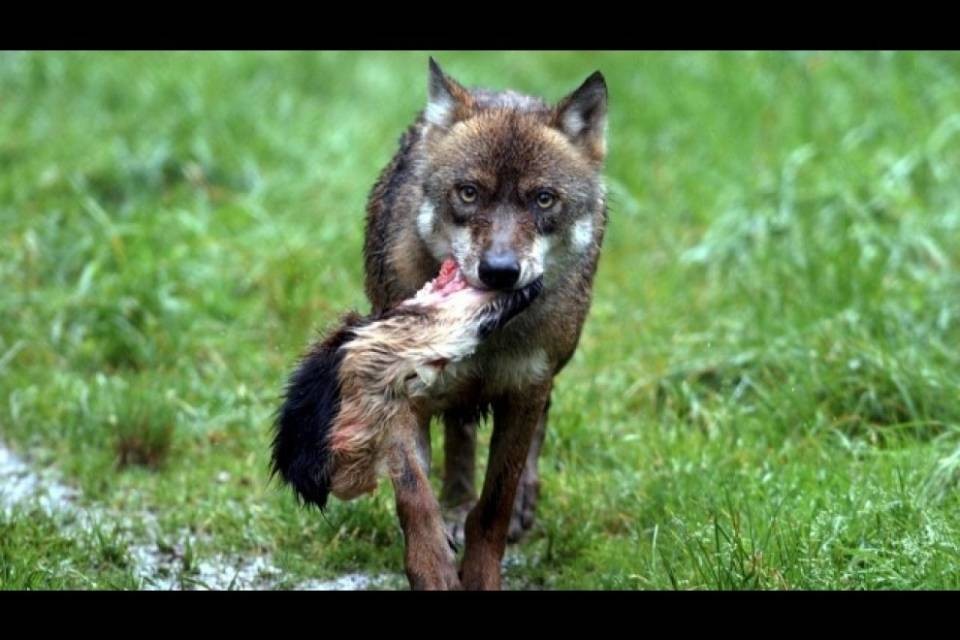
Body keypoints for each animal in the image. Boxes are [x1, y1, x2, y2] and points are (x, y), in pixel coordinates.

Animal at [357, 58, 608, 590]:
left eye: (544, 200)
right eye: (469, 193)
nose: (499, 270)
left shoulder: (524, 390)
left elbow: (495, 504)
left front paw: (481, 570)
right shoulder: (397, 388)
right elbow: (415, 495)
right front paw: (434, 569)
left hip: (551, 369)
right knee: (459, 438)